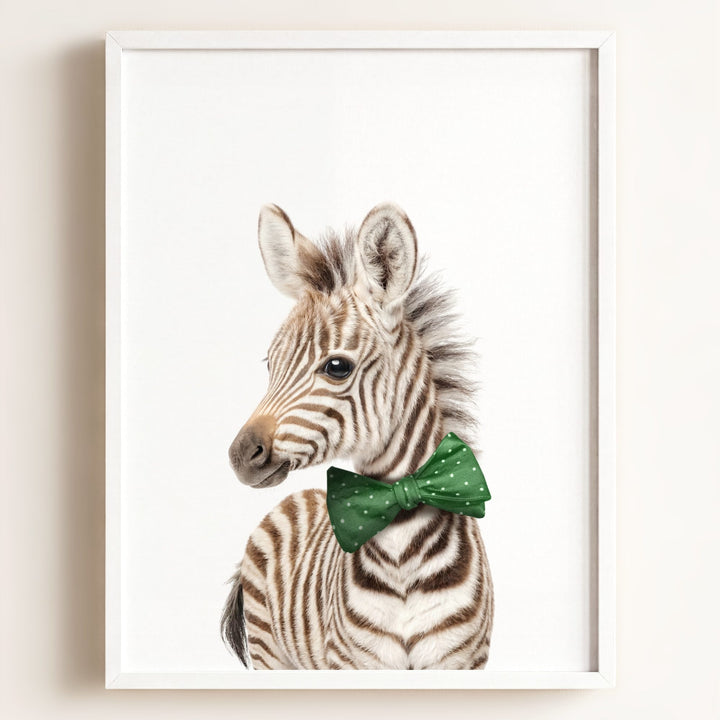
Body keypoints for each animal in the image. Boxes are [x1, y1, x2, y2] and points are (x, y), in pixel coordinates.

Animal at [222, 202, 493, 670]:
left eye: (337, 367)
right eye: (270, 363)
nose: (240, 455)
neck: (402, 551)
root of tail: (297, 497)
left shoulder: (462, 661)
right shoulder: (353, 662)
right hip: (270, 651)